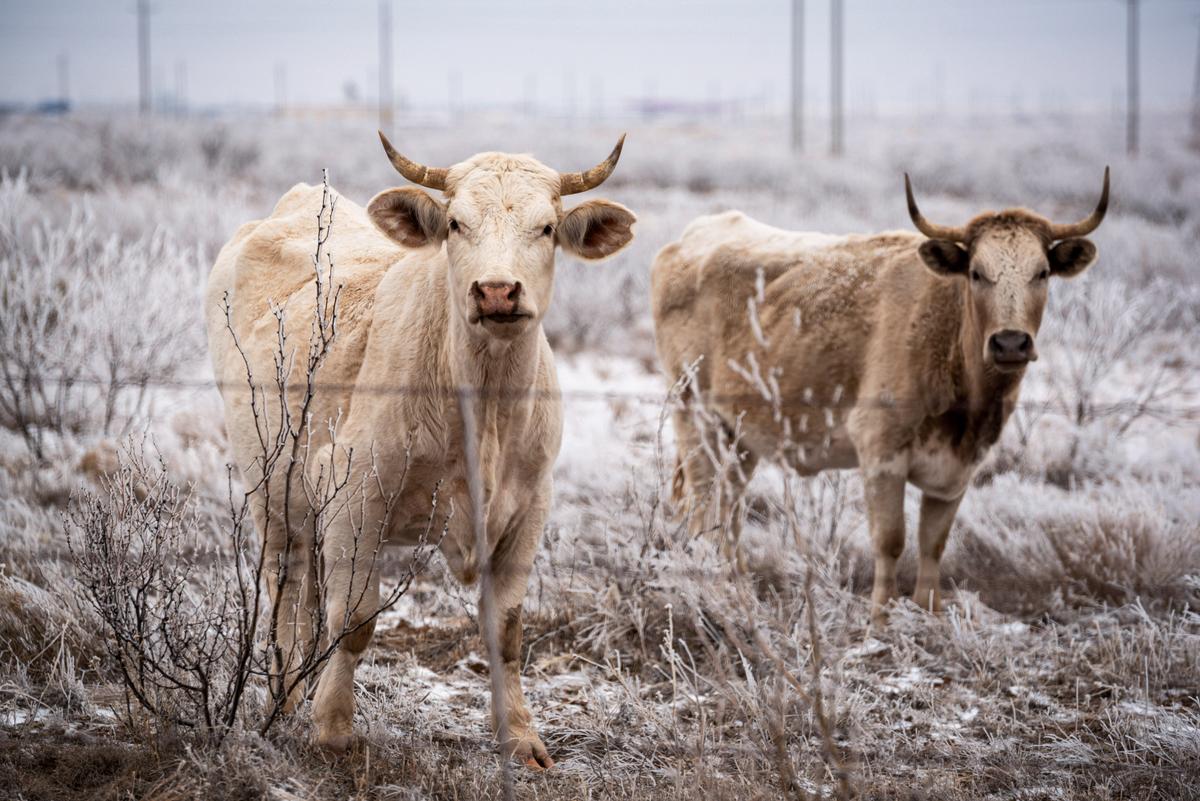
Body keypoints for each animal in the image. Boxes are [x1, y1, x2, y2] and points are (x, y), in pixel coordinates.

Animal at [205, 134, 636, 765]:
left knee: (308, 593)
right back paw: (285, 697)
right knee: (285, 584)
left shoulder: (529, 507)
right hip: (271, 486)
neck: (483, 407)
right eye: (456, 223)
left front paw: (521, 738)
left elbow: (506, 631)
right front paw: (332, 729)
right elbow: (356, 619)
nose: (497, 290)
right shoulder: (356, 498)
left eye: (547, 228)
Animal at [651, 170, 1109, 624]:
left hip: (740, 436)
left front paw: (930, 615)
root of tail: (689, 239)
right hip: (695, 417)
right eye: (977, 273)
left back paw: (739, 588)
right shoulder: (881, 452)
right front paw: (880, 621)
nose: (1010, 342)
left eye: (1042, 272)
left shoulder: (957, 471)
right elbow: (891, 540)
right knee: (703, 504)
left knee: (728, 510)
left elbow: (933, 544)